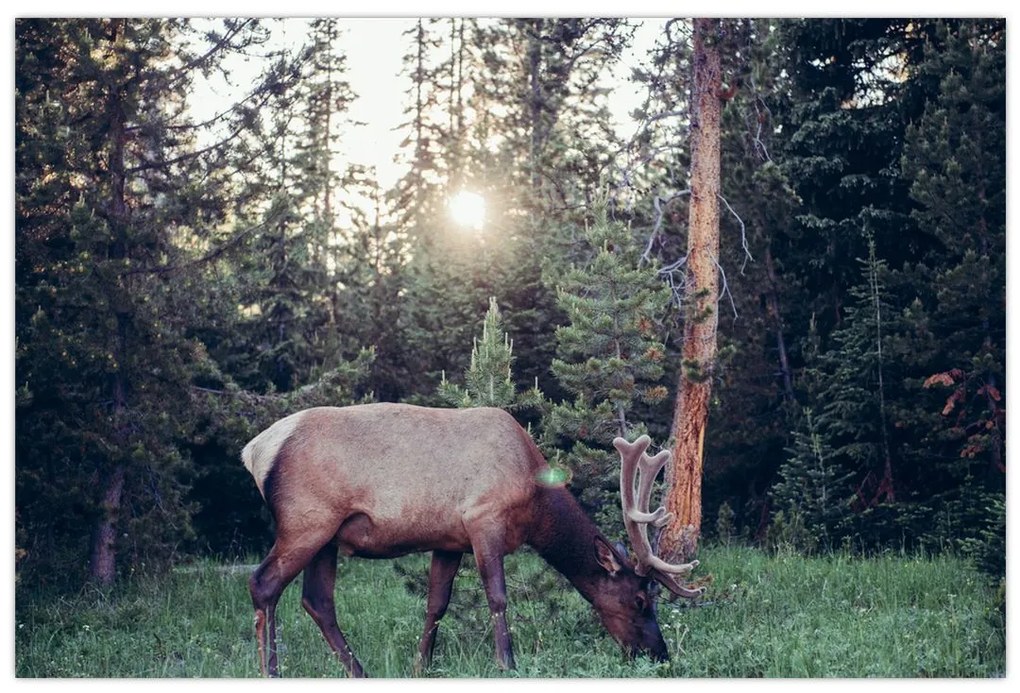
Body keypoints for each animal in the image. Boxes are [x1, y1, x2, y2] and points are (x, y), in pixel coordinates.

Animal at [241, 402, 701, 677]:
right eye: (640, 600)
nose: (659, 654)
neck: (534, 499)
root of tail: (254, 451)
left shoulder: (449, 541)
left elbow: (436, 604)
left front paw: (421, 666)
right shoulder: (483, 519)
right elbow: (497, 596)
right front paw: (507, 664)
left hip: (328, 539)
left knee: (317, 601)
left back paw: (360, 672)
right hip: (307, 520)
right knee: (263, 584)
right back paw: (271, 672)